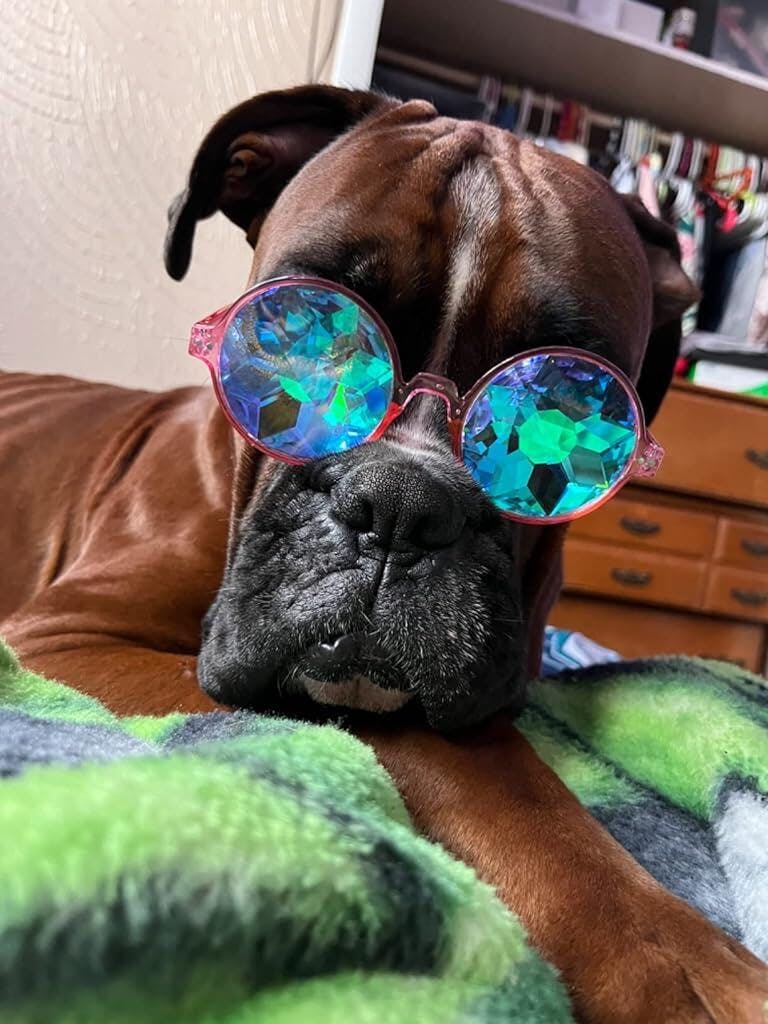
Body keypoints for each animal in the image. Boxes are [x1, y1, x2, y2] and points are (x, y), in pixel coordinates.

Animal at [2, 86, 767, 1022]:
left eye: (568, 405)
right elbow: (465, 762)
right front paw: (667, 951)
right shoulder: (68, 635)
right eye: (290, 340)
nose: (402, 502)